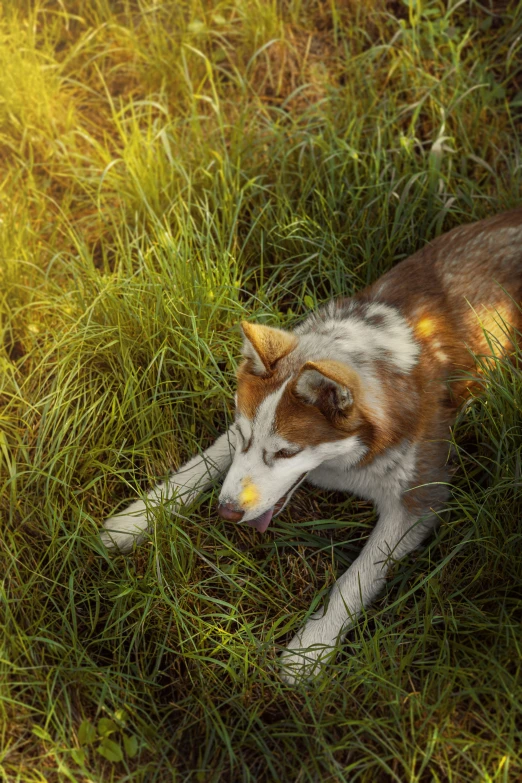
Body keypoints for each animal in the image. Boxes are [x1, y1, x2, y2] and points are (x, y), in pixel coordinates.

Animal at [100, 208, 520, 680]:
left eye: (287, 452)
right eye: (244, 436)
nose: (226, 513)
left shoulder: (420, 496)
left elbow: (357, 577)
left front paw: (310, 649)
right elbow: (203, 463)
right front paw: (137, 518)